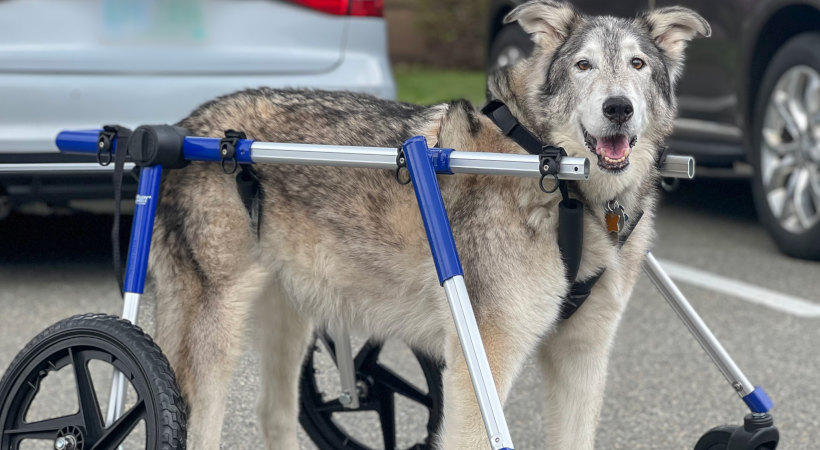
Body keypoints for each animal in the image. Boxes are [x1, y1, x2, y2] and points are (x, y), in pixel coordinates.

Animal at [149, 1, 712, 448]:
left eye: (637, 64)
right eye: (583, 65)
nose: (618, 108)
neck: (557, 176)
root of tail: (185, 124)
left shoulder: (582, 354)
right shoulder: (482, 360)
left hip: (291, 321)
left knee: (273, 414)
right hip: (216, 341)